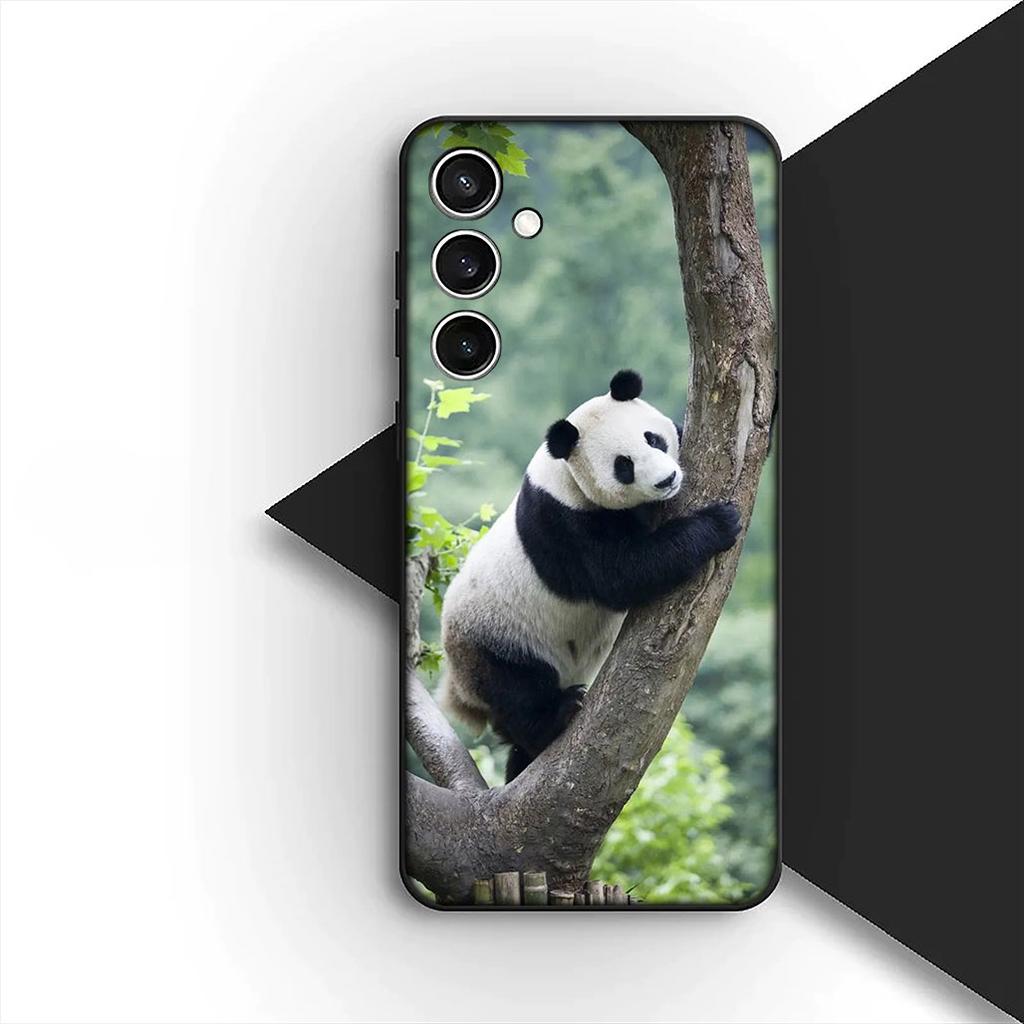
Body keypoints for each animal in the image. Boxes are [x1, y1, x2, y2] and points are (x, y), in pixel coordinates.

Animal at [439, 369, 741, 783]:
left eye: (653, 438)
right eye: (623, 466)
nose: (666, 481)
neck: (561, 470)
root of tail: (458, 691)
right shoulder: (563, 521)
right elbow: (621, 573)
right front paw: (718, 523)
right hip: (492, 639)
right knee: (518, 689)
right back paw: (557, 714)